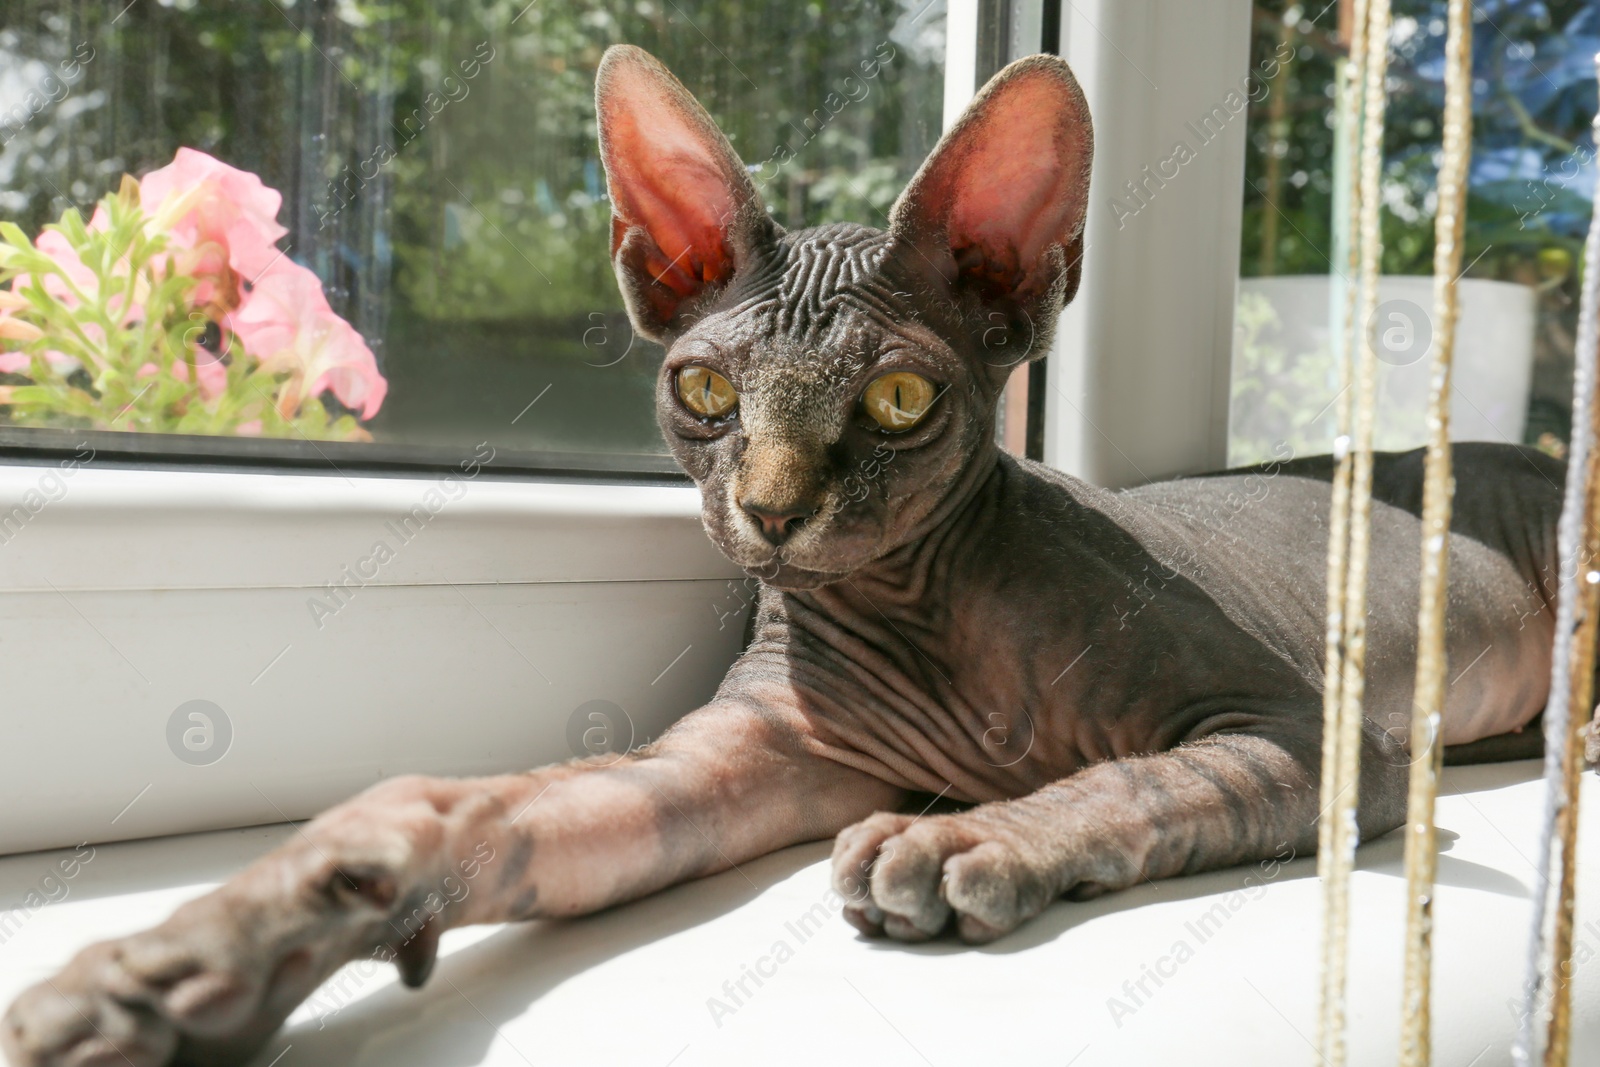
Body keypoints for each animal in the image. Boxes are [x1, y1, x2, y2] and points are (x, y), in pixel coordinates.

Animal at [3, 43, 1574, 1067]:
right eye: (705, 390)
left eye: (899, 399)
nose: (766, 510)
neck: (932, 620)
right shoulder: (740, 758)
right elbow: (464, 813)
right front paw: (190, 957)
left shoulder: (1306, 733)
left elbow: (1135, 779)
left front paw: (980, 832)